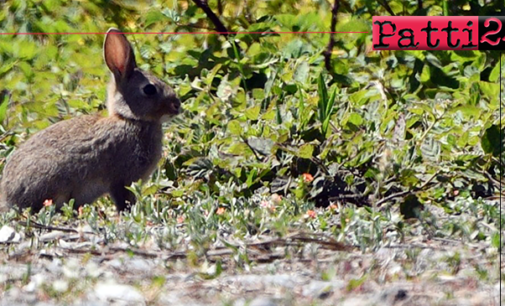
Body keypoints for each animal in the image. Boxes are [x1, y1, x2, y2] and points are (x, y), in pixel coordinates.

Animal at [0, 28, 181, 214]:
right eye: (149, 89)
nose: (177, 105)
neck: (130, 119)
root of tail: (8, 200)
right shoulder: (122, 180)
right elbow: (124, 200)